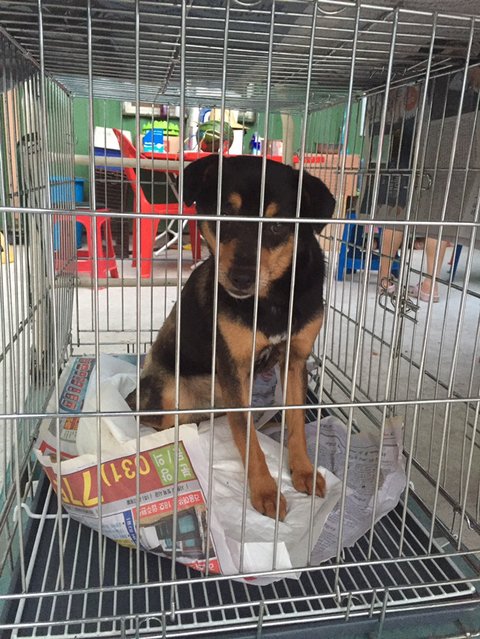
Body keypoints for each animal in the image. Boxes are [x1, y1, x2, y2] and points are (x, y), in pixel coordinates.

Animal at [127, 154, 335, 520]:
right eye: (224, 213)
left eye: (278, 226)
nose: (241, 278)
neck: (272, 298)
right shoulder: (232, 368)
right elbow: (248, 439)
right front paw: (265, 491)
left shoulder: (295, 359)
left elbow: (296, 423)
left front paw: (304, 471)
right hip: (169, 391)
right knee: (164, 421)